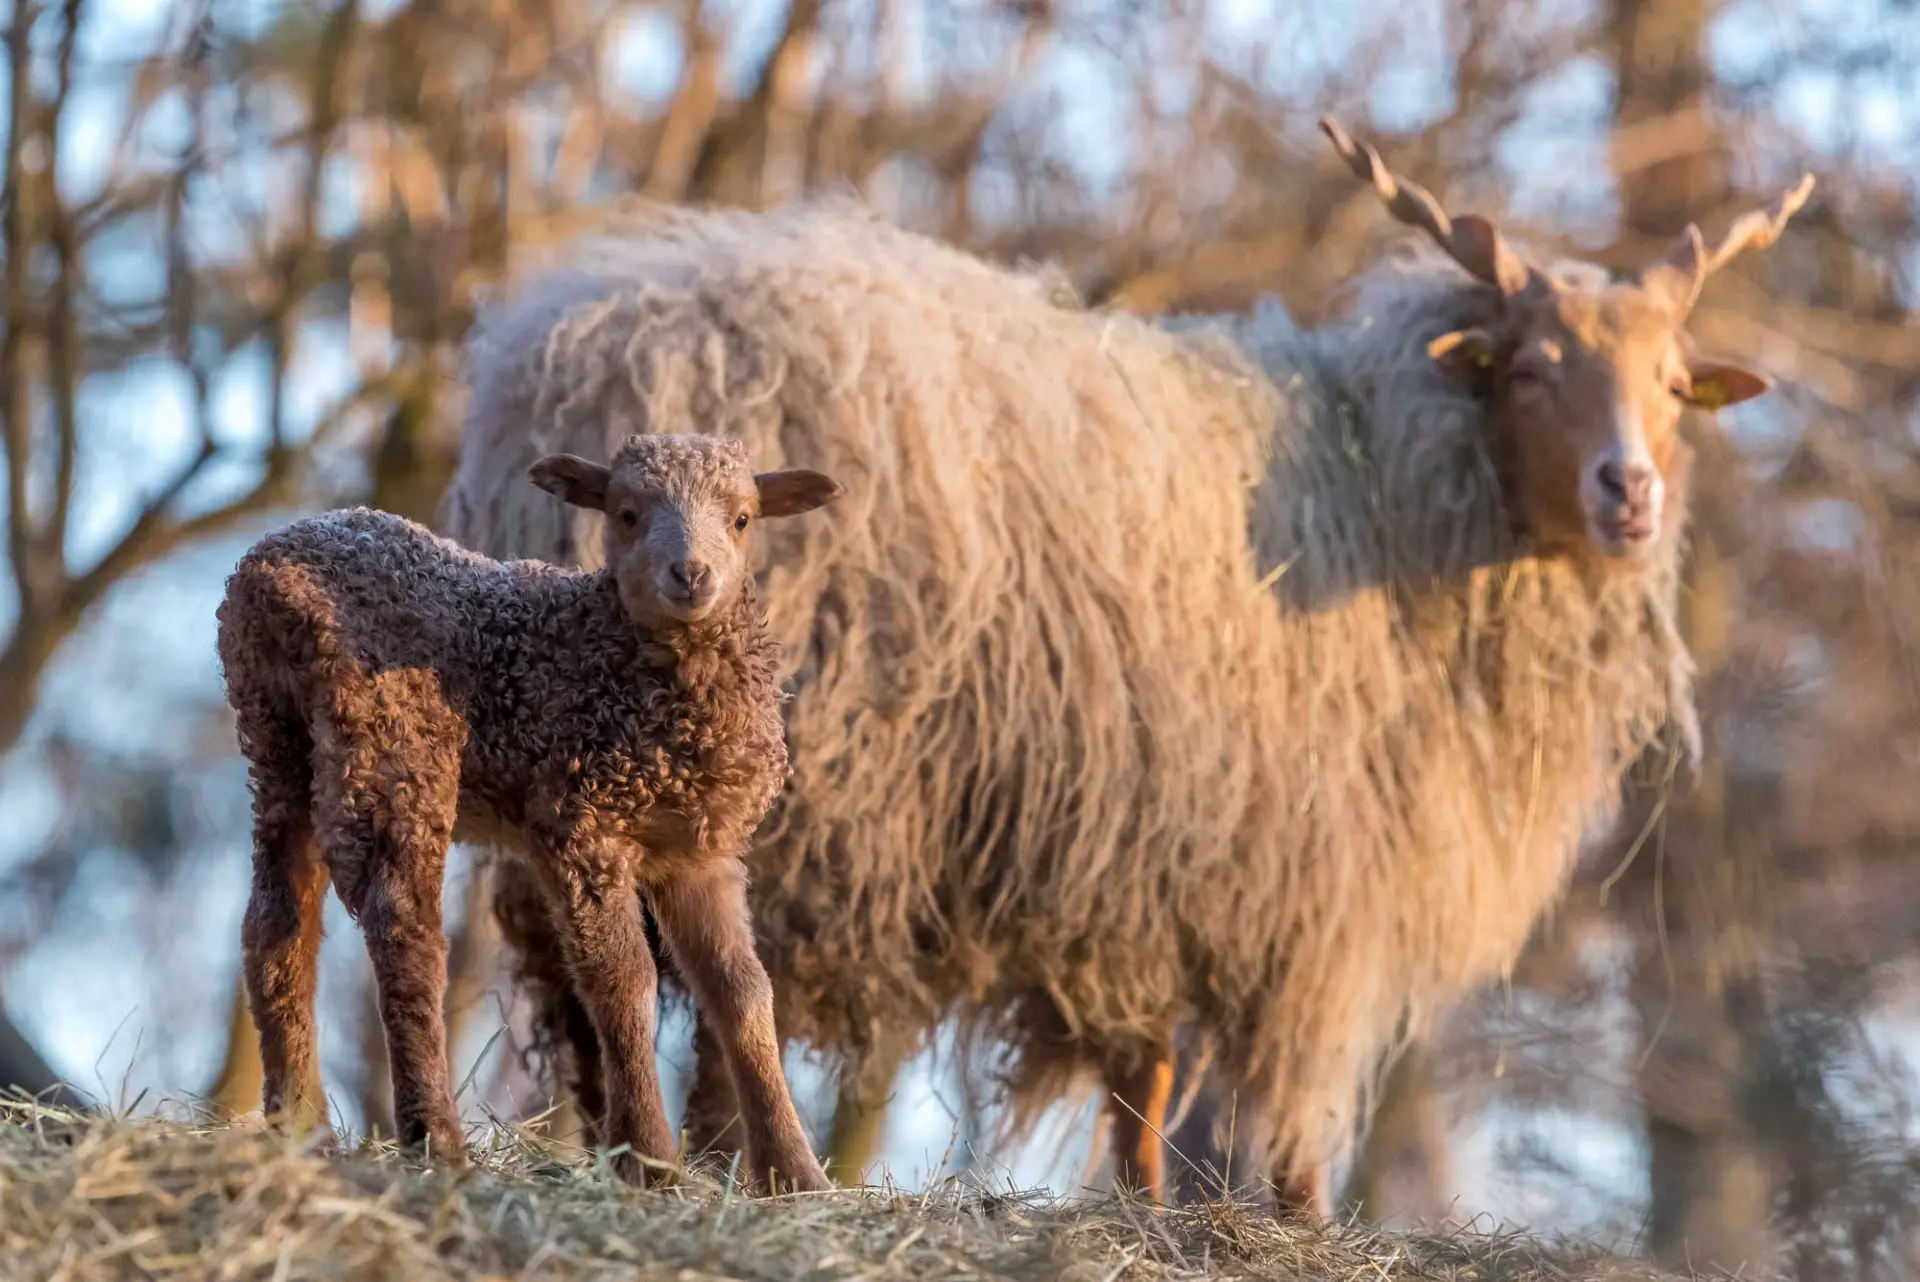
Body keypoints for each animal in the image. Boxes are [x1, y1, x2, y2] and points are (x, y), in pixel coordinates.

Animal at [216, 431, 841, 1194]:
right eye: (626, 514)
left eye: (743, 518)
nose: (691, 574)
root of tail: (274, 574)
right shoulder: (579, 824)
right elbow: (624, 980)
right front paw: (648, 1162)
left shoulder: (700, 853)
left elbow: (743, 993)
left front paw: (795, 1174)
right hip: (393, 740)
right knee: (403, 926)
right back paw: (436, 1141)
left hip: (275, 739)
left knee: (277, 922)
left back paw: (300, 1127)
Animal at [438, 119, 1812, 1211]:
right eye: (1530, 368)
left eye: (1676, 385)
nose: (1628, 493)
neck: (1382, 496)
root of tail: (566, 348)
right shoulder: (1309, 896)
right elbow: (1282, 1129)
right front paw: (1293, 1226)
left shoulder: (1151, 870)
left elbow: (1142, 1082)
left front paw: (1150, 1214)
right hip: (799, 789)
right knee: (714, 990)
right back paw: (728, 1171)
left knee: (582, 974)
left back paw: (631, 1156)